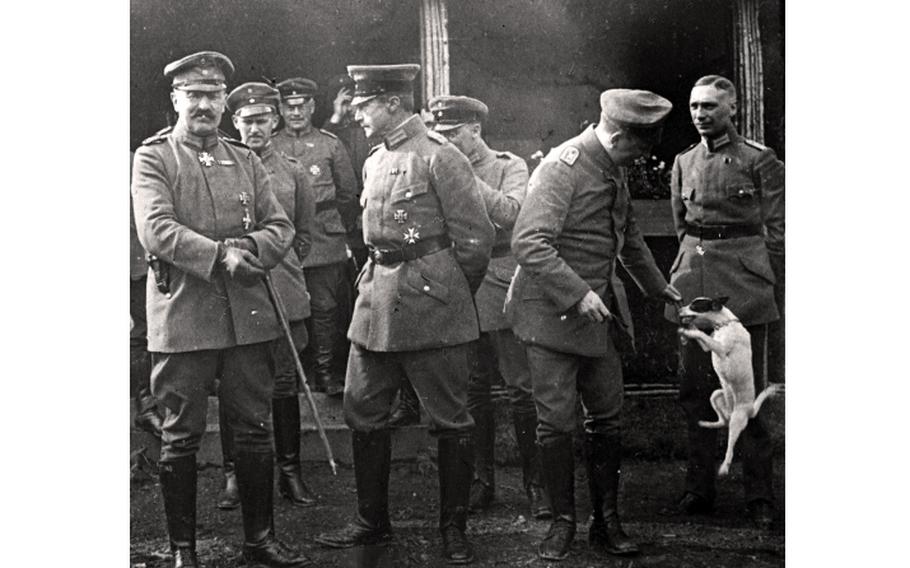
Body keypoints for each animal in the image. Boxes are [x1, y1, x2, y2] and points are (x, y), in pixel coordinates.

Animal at [676, 300, 784, 478]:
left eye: (695, 306)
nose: (679, 309)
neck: (724, 324)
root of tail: (750, 410)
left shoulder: (720, 348)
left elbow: (703, 335)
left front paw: (688, 331)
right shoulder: (708, 347)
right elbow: (701, 335)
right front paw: (689, 329)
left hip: (736, 421)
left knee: (730, 447)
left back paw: (724, 467)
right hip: (715, 396)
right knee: (722, 422)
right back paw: (706, 423)